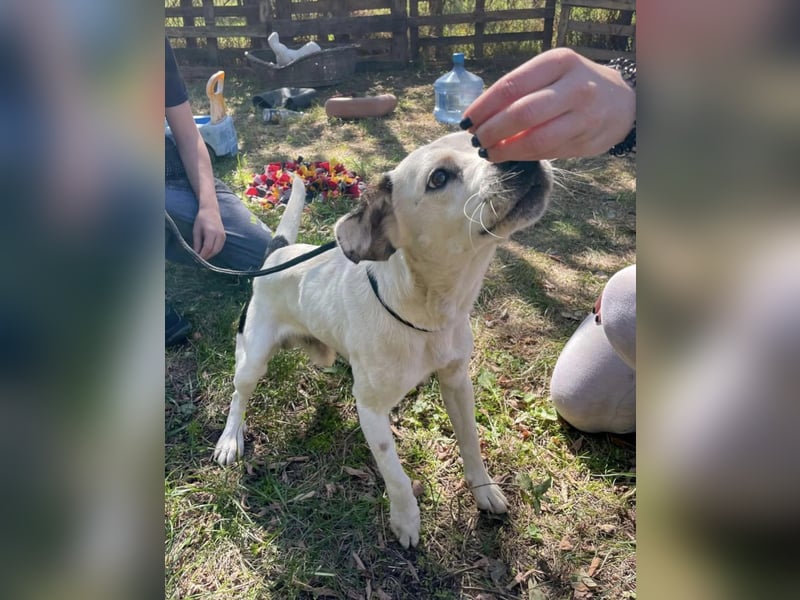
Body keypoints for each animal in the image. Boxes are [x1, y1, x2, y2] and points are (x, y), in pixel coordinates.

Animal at [212, 132, 552, 548]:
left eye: (478, 140)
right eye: (438, 178)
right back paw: (231, 438)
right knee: (238, 395)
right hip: (253, 359)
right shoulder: (372, 412)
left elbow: (470, 441)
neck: (428, 312)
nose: (522, 155)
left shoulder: (457, 381)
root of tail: (278, 253)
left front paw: (484, 490)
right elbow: (396, 473)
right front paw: (406, 519)